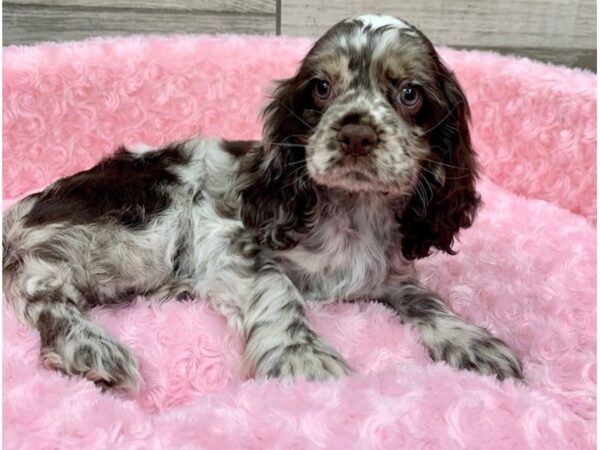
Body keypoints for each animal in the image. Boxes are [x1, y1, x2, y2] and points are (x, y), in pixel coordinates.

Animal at [3, 14, 520, 390]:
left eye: (409, 94)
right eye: (321, 88)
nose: (355, 133)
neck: (353, 209)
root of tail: (21, 210)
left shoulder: (391, 274)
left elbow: (427, 300)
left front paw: (474, 341)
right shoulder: (238, 243)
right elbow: (279, 291)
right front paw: (303, 358)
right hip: (146, 221)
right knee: (38, 285)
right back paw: (88, 346)